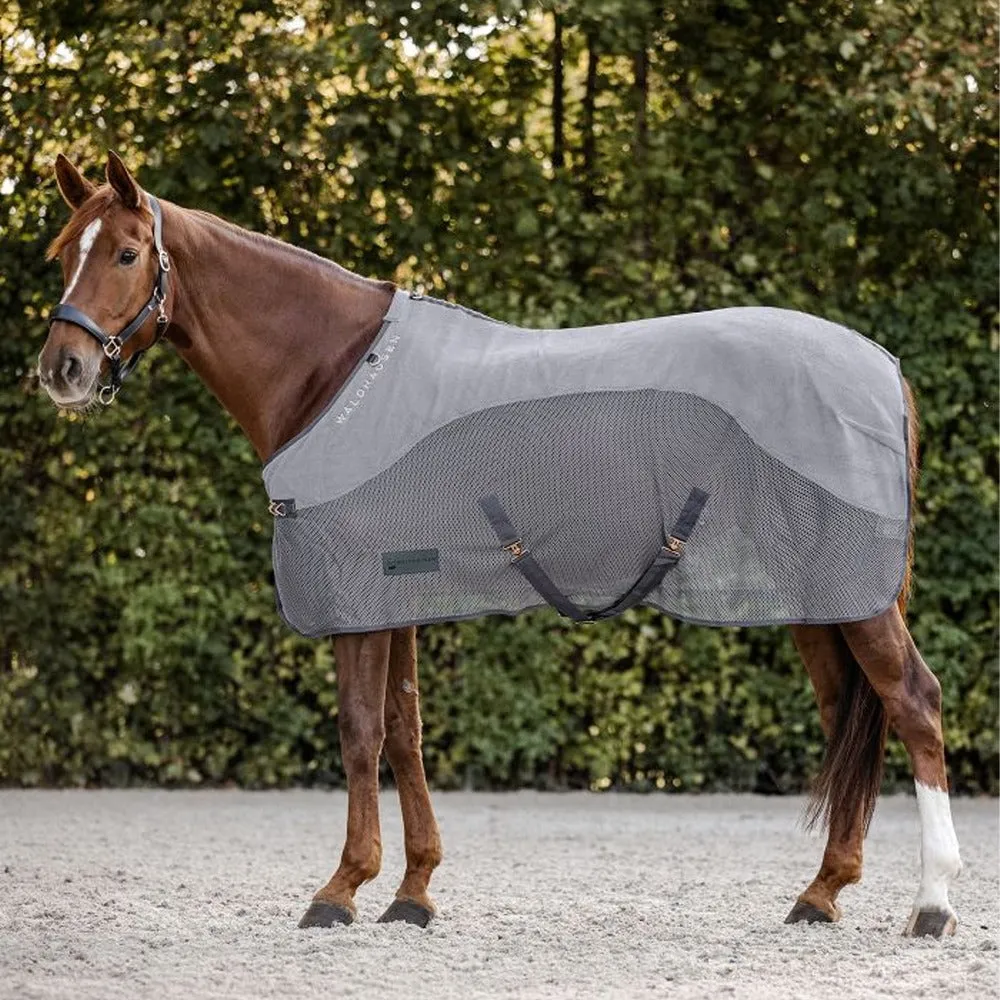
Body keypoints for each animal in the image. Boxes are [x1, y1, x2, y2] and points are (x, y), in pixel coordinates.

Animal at [37, 152, 963, 937]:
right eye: (58, 256)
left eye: (126, 253)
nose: (62, 370)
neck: (332, 371)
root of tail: (883, 368)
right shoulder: (396, 589)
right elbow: (404, 730)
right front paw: (412, 892)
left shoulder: (355, 594)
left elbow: (359, 731)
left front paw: (341, 889)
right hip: (819, 597)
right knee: (849, 714)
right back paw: (822, 892)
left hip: (856, 597)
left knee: (914, 702)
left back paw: (932, 905)